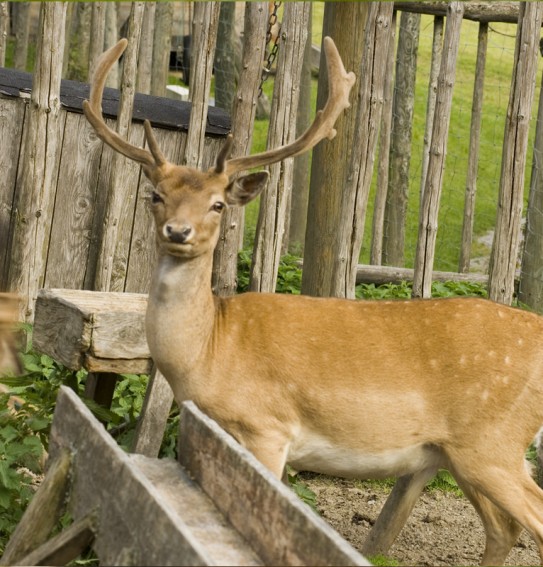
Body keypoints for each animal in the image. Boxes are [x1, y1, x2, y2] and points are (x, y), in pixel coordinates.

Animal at [83, 37, 543, 564]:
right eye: (157, 196)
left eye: (218, 204)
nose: (178, 232)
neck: (209, 351)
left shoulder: (265, 426)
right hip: (457, 452)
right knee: (503, 528)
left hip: (492, 441)